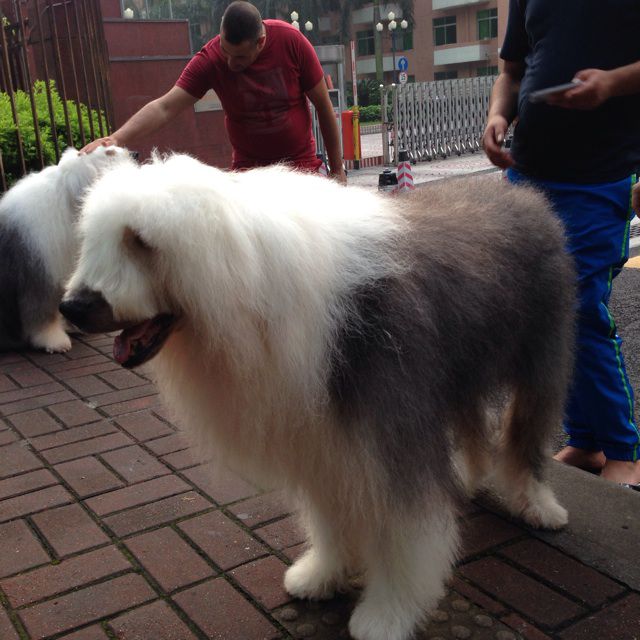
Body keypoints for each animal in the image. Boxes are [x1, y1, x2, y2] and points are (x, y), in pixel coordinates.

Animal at [0, 145, 133, 353]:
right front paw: (53, 341)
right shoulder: (41, 276)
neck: (68, 201)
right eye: (109, 153)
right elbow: (43, 313)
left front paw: (72, 325)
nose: (134, 153)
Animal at [61, 154, 575, 640]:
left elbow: (405, 535)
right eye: (98, 238)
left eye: (141, 241)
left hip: (541, 360)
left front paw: (387, 615)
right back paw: (468, 476)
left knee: (526, 439)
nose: (72, 306)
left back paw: (539, 507)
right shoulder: (321, 441)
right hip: (462, 371)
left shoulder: (390, 439)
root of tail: (521, 194)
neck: (252, 285)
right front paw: (320, 576)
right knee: (472, 424)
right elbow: (330, 518)